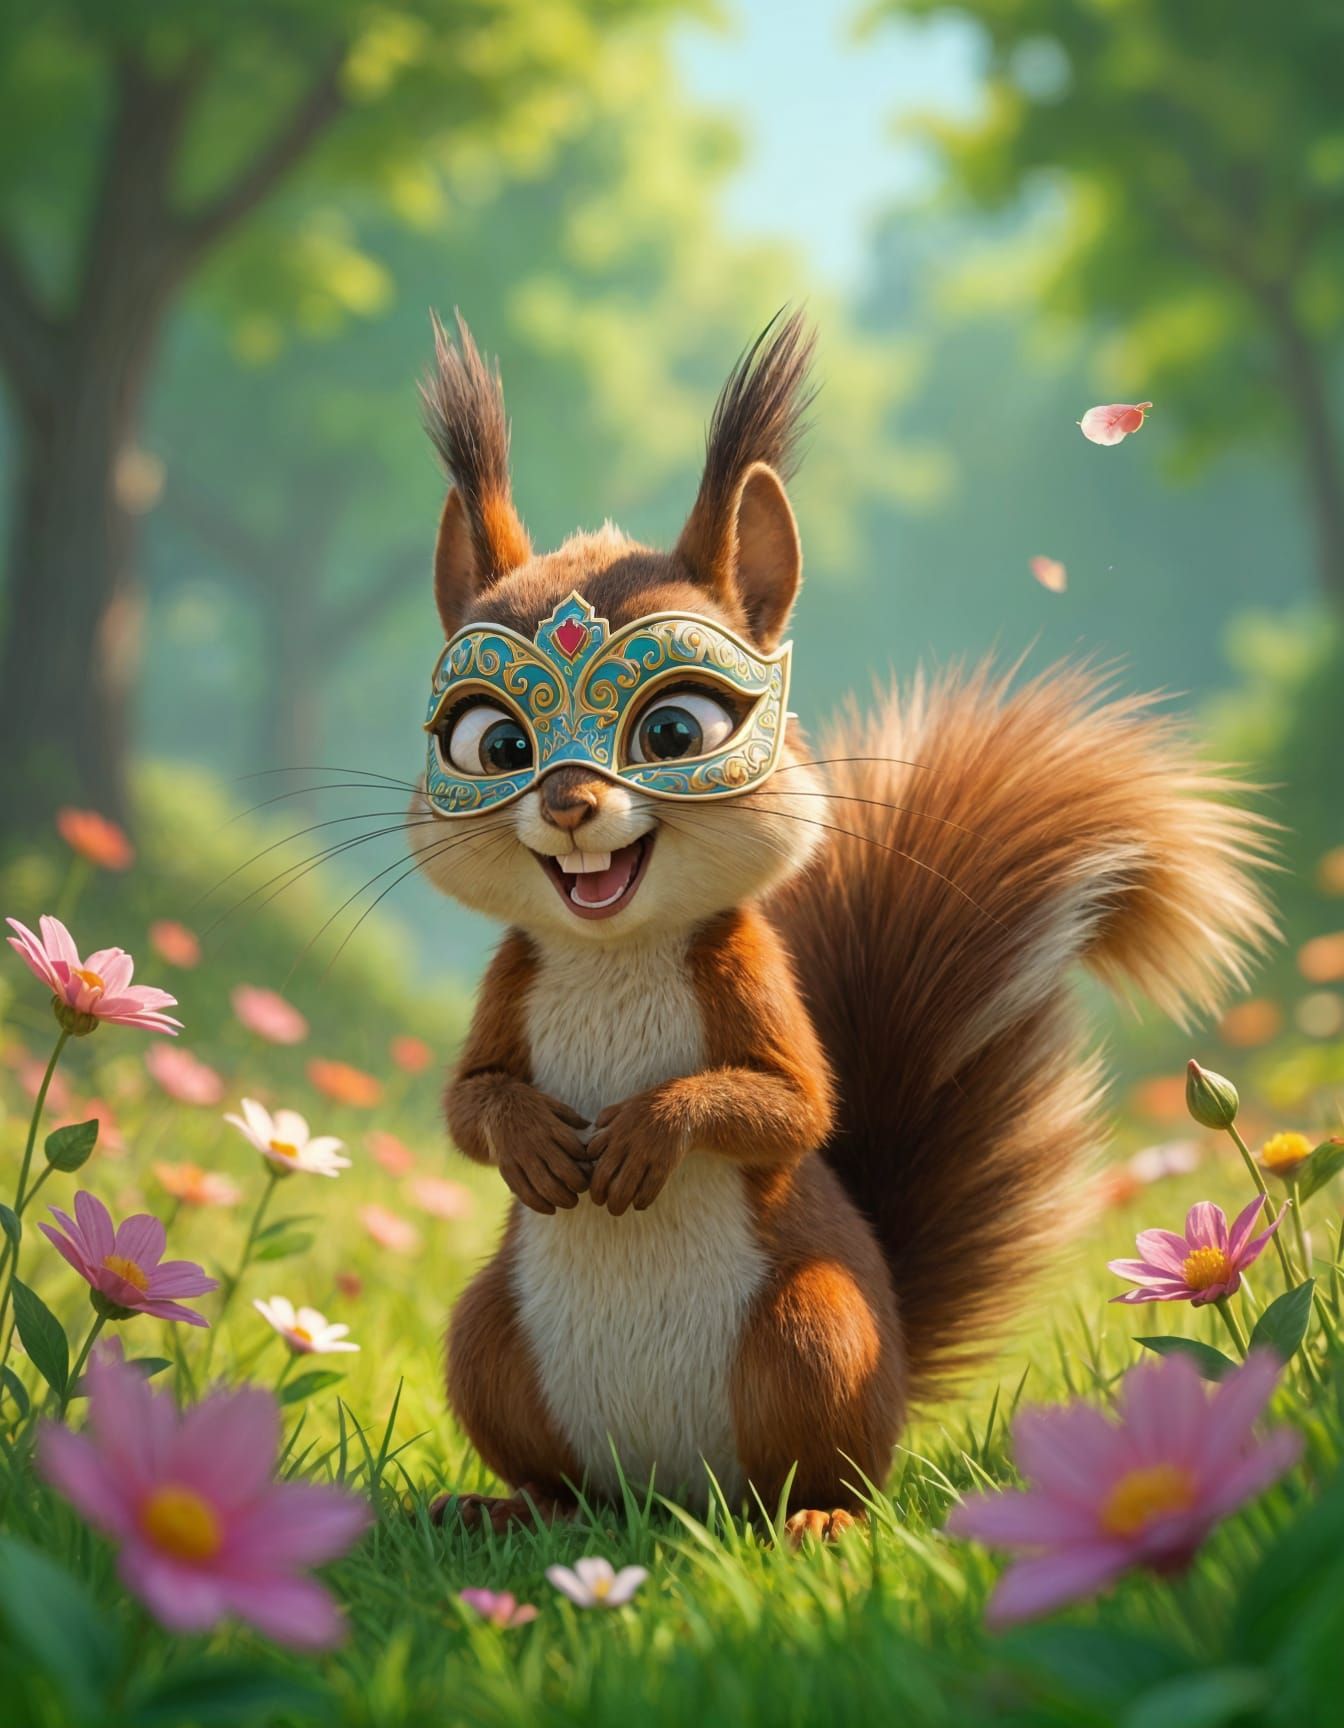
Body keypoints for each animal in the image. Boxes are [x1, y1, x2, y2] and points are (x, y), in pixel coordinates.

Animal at [414, 310, 1274, 1543]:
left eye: (674, 729)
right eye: (489, 744)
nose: (570, 808)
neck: (614, 949)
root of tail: (666, 1498)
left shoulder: (747, 976)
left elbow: (791, 1102)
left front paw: (649, 1132)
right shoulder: (513, 976)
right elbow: (470, 1100)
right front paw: (530, 1134)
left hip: (813, 1336)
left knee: (821, 1474)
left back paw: (818, 1523)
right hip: (488, 1337)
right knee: (558, 1476)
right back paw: (505, 1507)